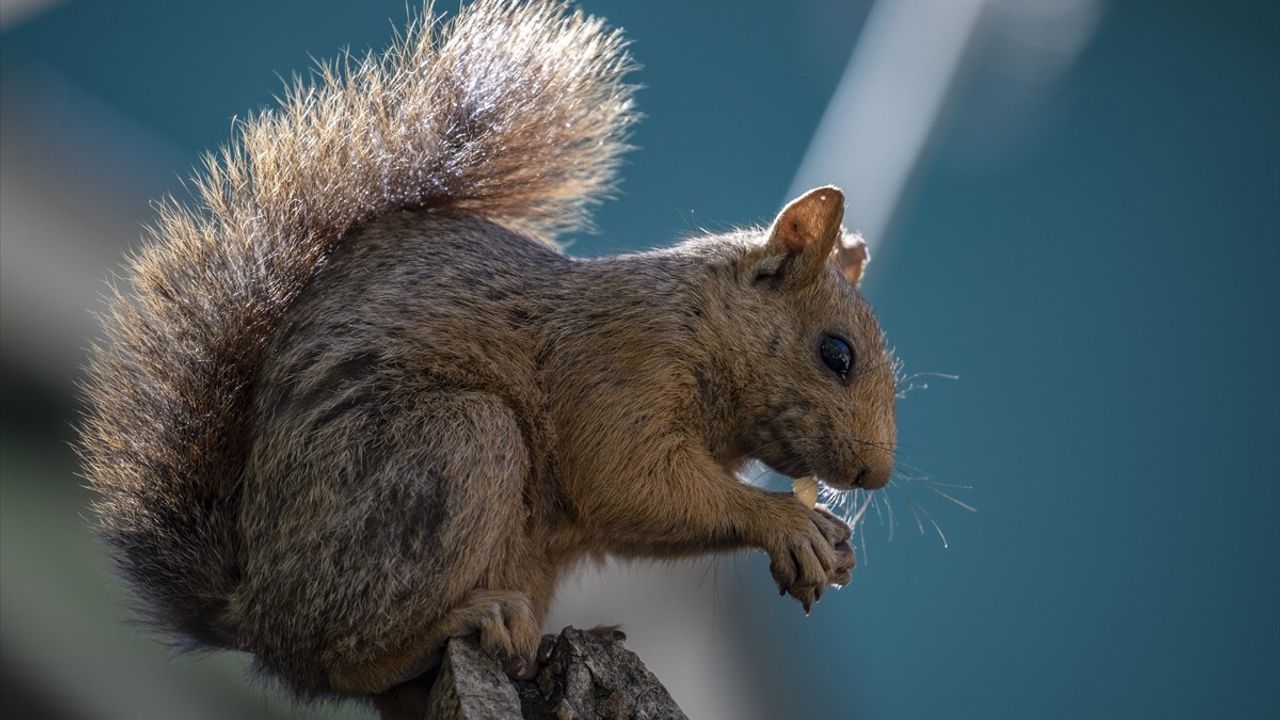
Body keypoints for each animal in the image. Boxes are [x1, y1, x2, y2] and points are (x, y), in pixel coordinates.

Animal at [77, 2, 901, 712]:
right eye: (835, 353)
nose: (875, 475)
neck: (700, 324)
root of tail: (252, 608)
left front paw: (835, 544)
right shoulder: (619, 370)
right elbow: (631, 484)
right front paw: (786, 523)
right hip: (449, 449)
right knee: (343, 659)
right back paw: (461, 622)